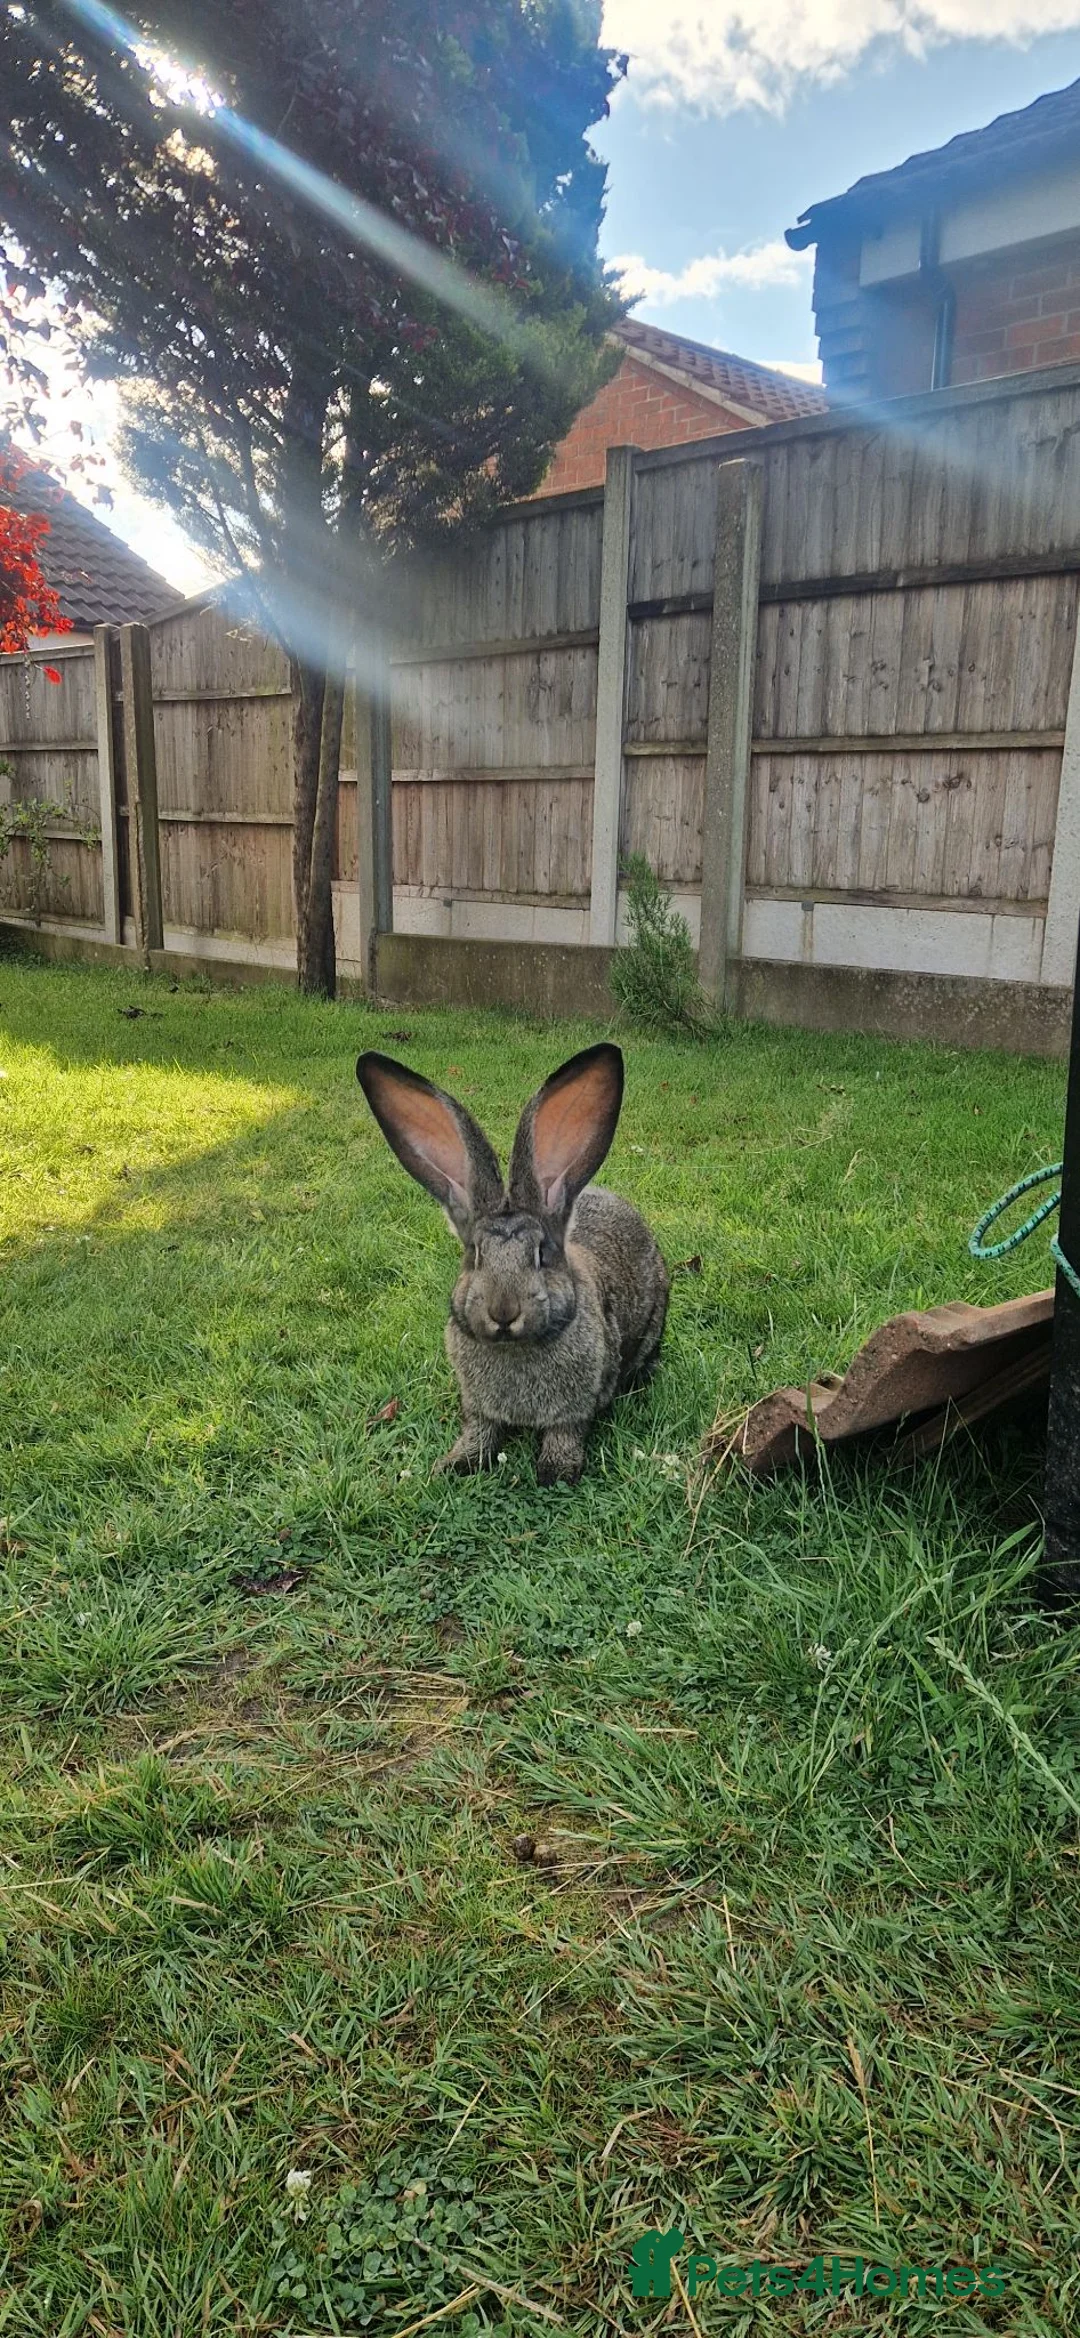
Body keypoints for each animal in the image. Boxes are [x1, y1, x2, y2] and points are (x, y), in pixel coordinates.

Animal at [356, 1041, 668, 1485]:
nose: (503, 1312)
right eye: (474, 1254)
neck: (515, 1348)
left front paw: (556, 1473)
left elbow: (565, 1431)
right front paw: (457, 1464)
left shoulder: (579, 1405)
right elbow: (480, 1430)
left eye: (541, 1254)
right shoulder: (477, 1407)